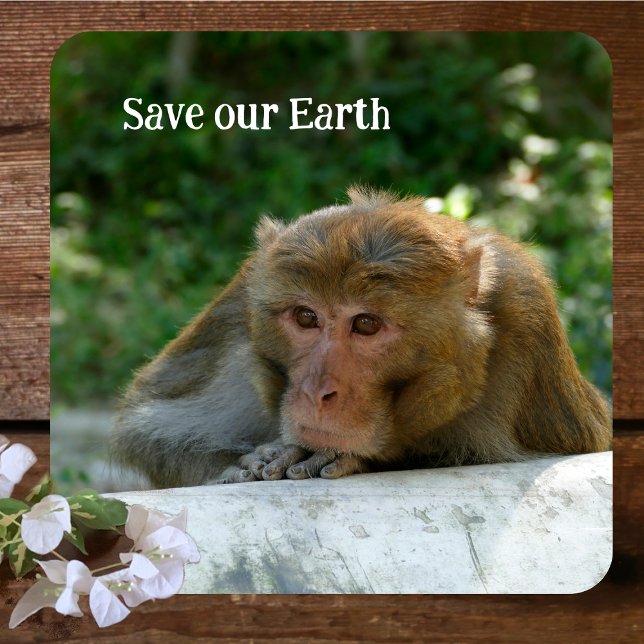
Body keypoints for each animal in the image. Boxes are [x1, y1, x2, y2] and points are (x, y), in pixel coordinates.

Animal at [111, 187, 611, 489]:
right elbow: (147, 429)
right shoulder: (240, 306)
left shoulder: (526, 312)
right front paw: (240, 465)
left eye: (367, 324)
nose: (317, 391)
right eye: (306, 317)